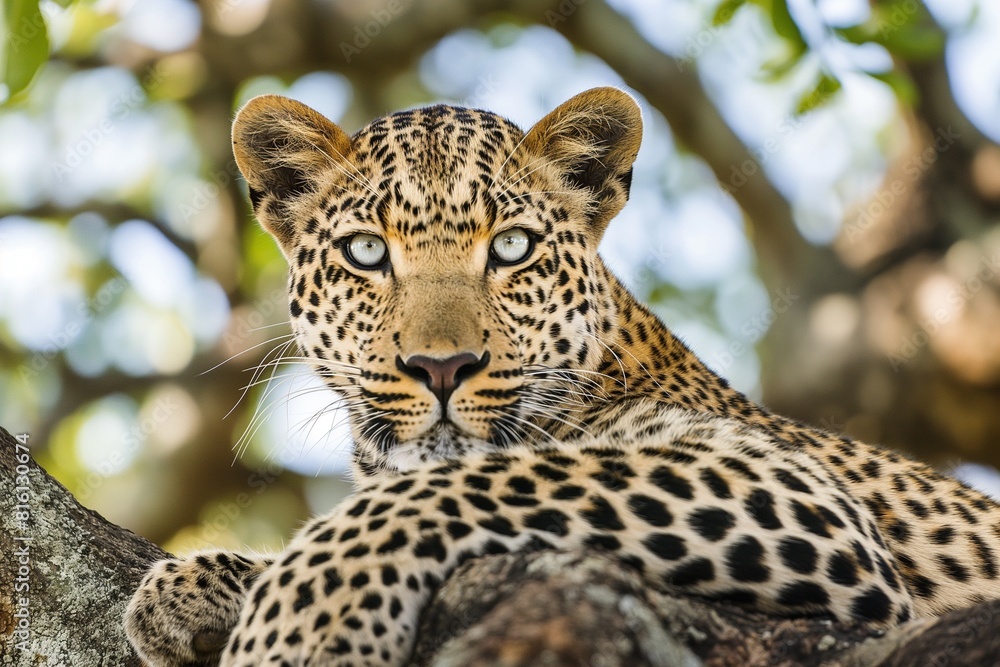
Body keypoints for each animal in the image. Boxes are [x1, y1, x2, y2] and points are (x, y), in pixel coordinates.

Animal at [124, 87, 1000, 666]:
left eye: (511, 248)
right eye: (367, 252)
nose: (441, 367)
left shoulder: (795, 489)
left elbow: (491, 477)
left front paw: (305, 618)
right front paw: (187, 589)